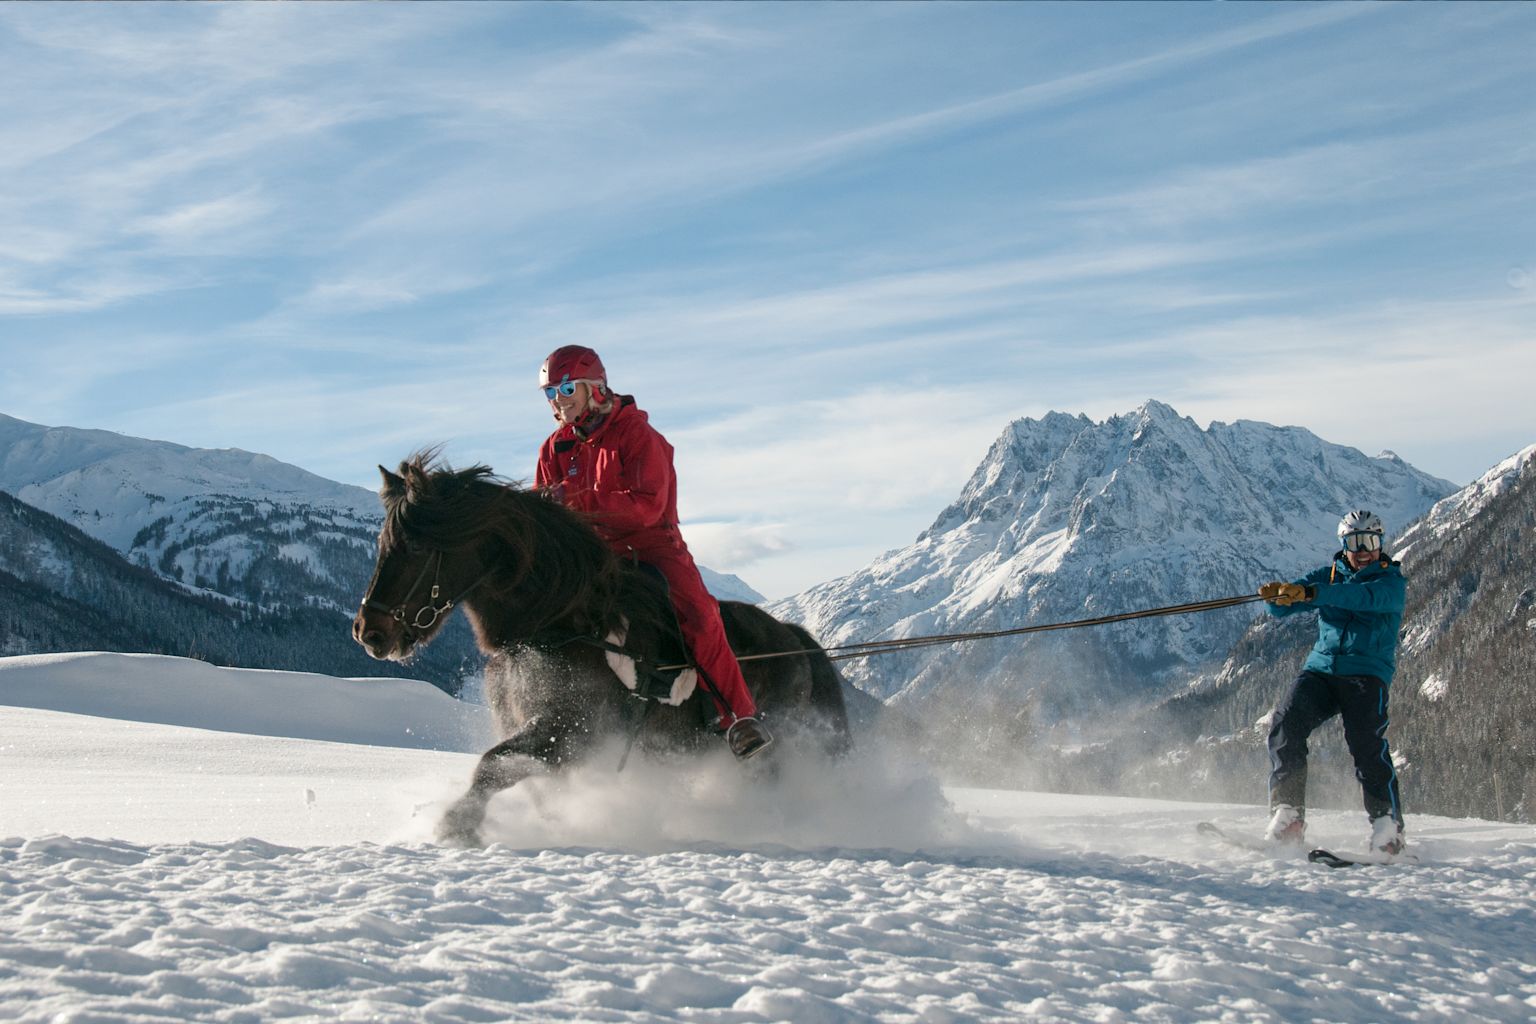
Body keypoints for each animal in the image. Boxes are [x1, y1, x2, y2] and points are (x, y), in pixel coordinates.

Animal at [352, 453, 853, 846]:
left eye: (415, 545)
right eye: (382, 543)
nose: (368, 632)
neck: (558, 624)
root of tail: (795, 640)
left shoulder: (571, 736)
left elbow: (492, 767)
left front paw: (457, 825)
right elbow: (525, 782)